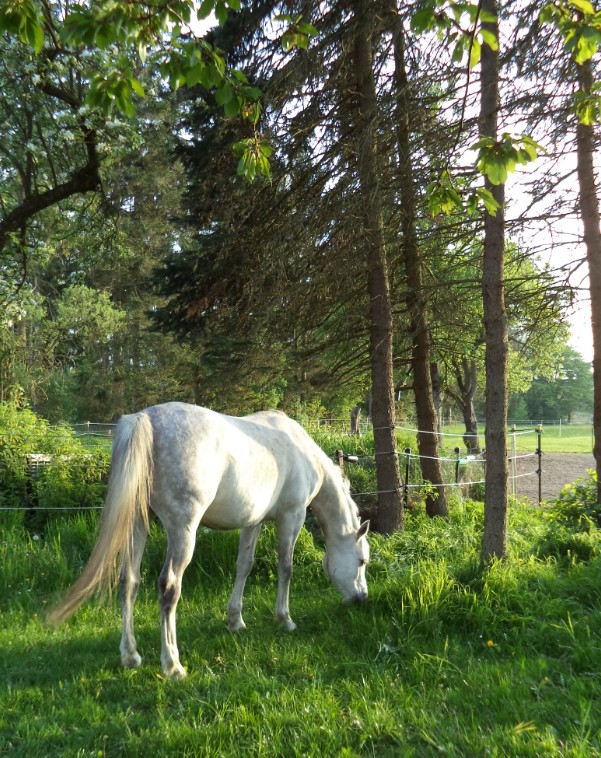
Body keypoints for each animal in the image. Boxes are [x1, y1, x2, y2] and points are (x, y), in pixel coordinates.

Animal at [49, 404, 368, 684]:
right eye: (363, 561)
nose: (361, 599)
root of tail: (144, 419)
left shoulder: (253, 522)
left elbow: (244, 566)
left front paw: (235, 620)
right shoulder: (292, 516)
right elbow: (286, 568)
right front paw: (285, 619)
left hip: (138, 524)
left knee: (129, 581)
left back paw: (130, 656)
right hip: (183, 530)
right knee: (169, 586)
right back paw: (173, 665)